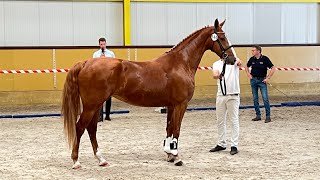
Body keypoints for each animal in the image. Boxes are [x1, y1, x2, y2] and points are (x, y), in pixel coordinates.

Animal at [62, 18, 235, 169]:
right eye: (222, 37)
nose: (232, 59)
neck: (180, 63)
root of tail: (85, 63)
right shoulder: (181, 104)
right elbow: (176, 130)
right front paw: (177, 157)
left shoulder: (171, 105)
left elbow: (169, 128)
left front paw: (169, 155)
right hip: (92, 105)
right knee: (80, 127)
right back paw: (76, 161)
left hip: (96, 104)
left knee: (91, 128)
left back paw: (101, 159)